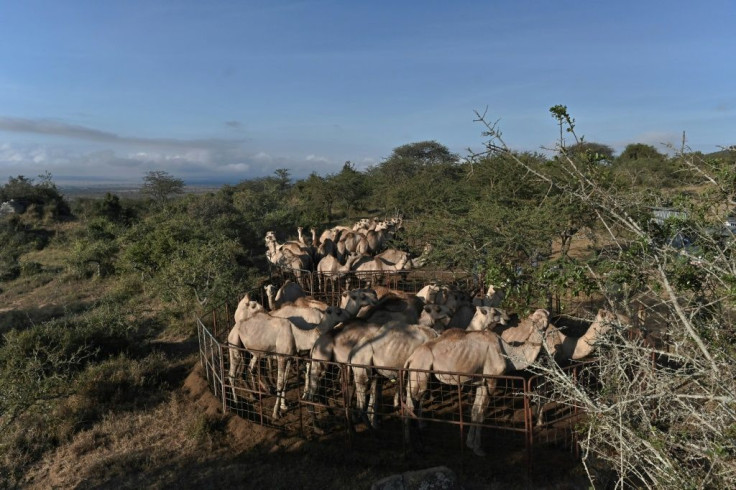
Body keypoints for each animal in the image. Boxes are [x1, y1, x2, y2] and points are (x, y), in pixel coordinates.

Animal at [402, 310, 552, 456]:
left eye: (545, 318)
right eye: (535, 319)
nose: (541, 327)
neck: (507, 353)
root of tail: (411, 357)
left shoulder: (481, 382)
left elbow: (475, 411)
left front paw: (469, 443)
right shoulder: (491, 379)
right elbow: (481, 413)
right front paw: (478, 448)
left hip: (414, 374)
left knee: (410, 401)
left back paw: (411, 442)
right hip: (421, 371)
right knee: (412, 404)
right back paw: (413, 445)